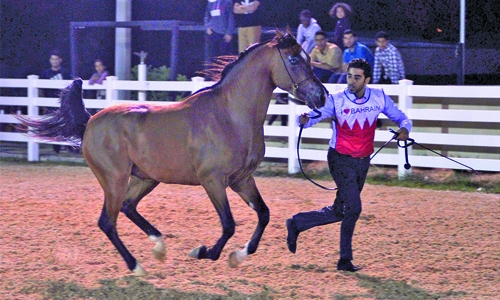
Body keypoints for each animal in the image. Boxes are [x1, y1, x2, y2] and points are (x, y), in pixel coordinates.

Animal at [17, 29, 326, 276]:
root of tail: (90, 121)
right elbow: (228, 224)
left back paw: (159, 247)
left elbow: (263, 214)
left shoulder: (242, 180)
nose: (321, 96)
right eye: (294, 60)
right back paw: (137, 266)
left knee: (128, 207)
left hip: (145, 178)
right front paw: (204, 252)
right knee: (108, 222)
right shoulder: (213, 181)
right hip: (114, 180)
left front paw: (237, 256)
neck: (230, 115)